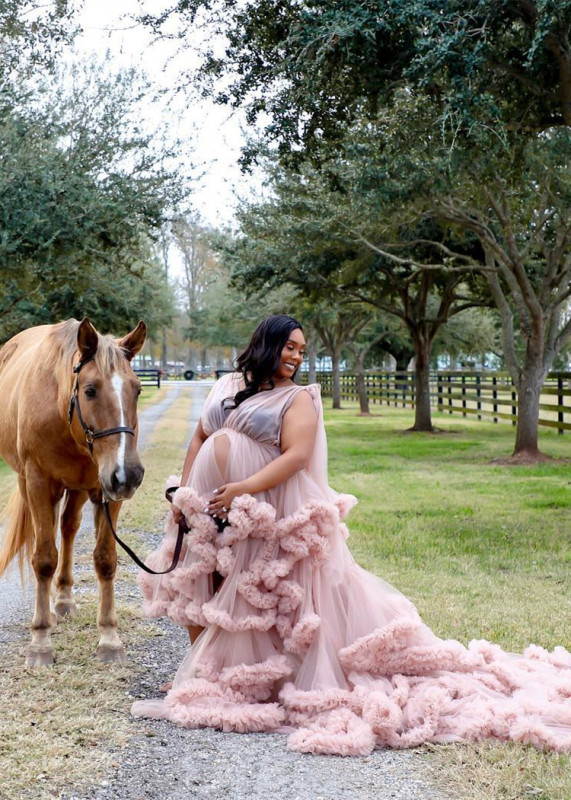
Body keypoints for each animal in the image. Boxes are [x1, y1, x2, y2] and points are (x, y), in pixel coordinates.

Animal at [0, 318, 147, 664]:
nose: (129, 474)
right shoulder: (39, 483)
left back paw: (63, 599)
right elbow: (43, 559)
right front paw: (40, 640)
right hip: (32, 484)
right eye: (90, 390)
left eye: (137, 389)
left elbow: (105, 559)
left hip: (79, 488)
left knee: (67, 528)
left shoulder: (105, 491)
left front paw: (109, 637)